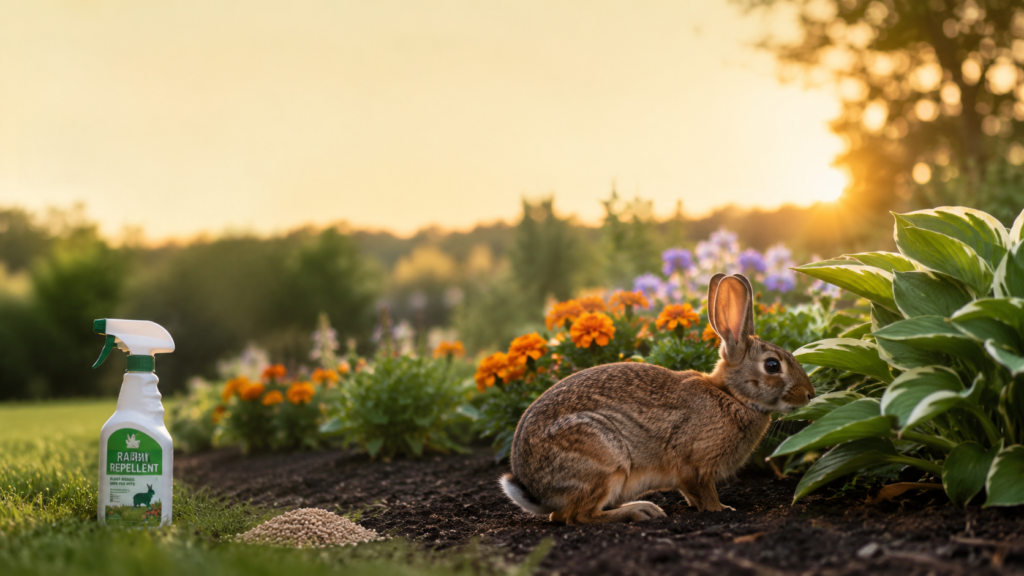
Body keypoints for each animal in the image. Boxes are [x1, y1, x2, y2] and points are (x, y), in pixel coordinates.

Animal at [500, 273, 815, 524]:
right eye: (772, 366)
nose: (809, 394)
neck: (732, 396)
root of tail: (533, 488)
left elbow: (691, 493)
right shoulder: (695, 464)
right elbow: (704, 491)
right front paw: (720, 510)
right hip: (604, 460)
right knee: (575, 517)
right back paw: (640, 511)